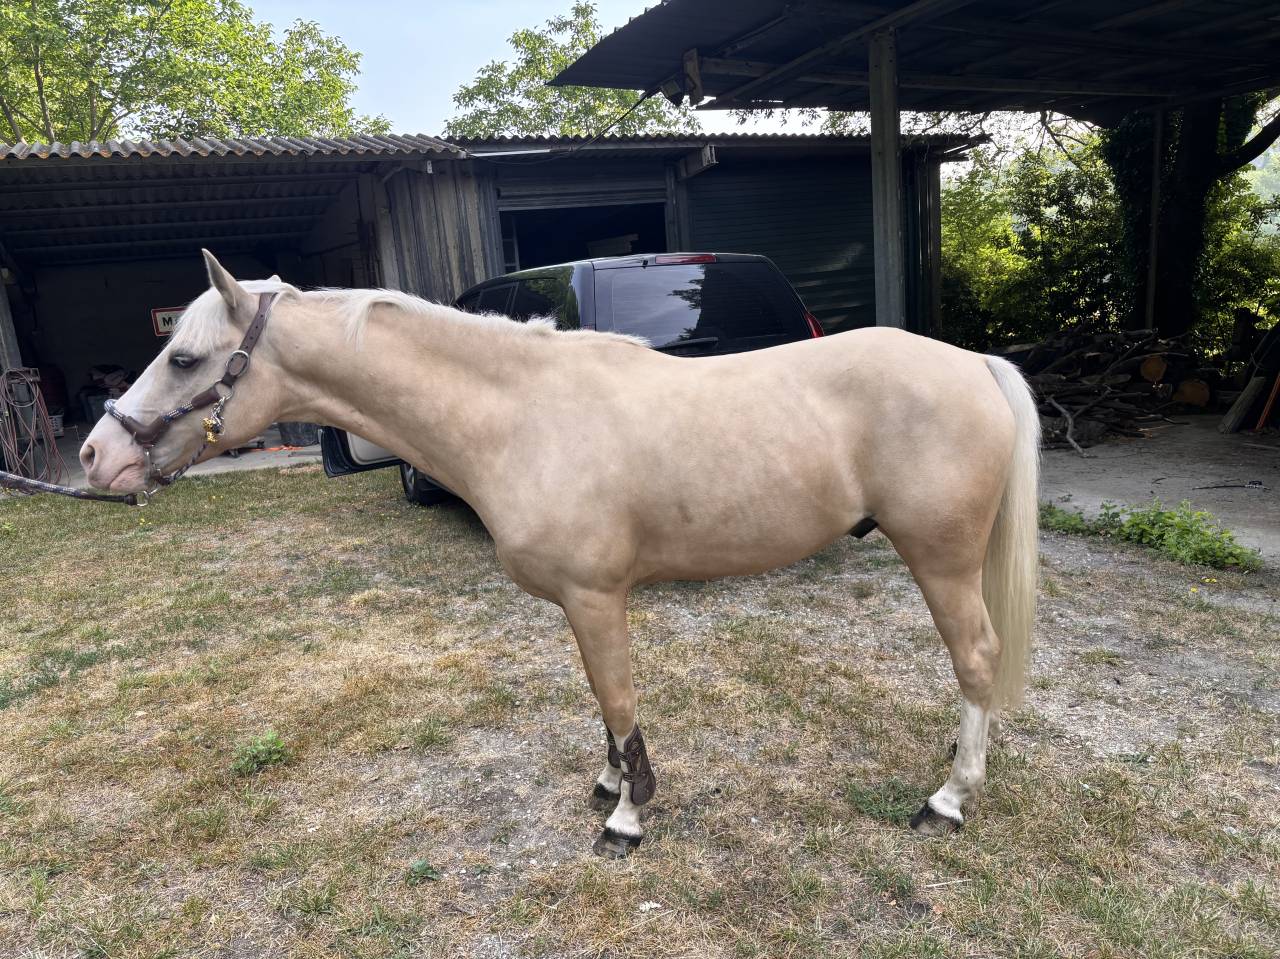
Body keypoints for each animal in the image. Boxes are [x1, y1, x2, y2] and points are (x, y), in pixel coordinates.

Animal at [80, 251, 1039, 858]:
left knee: (976, 659)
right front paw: (610, 787)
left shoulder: (595, 595)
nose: (96, 455)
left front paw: (628, 820)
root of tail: (972, 363)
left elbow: (618, 701)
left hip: (942, 559)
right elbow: (600, 706)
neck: (521, 414)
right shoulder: (582, 606)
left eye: (183, 357)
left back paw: (949, 799)